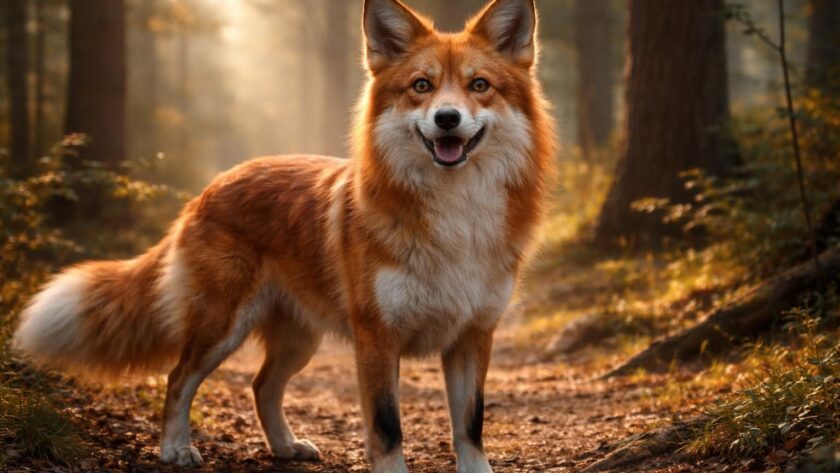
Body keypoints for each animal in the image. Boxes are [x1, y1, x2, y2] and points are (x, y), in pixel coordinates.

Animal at [13, 0, 554, 471]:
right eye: (422, 86)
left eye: (479, 85)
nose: (447, 119)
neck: (455, 223)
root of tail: (209, 188)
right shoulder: (376, 338)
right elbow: (387, 428)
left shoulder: (472, 334)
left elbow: (470, 427)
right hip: (222, 327)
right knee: (178, 378)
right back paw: (175, 449)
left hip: (300, 339)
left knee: (261, 387)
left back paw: (285, 446)